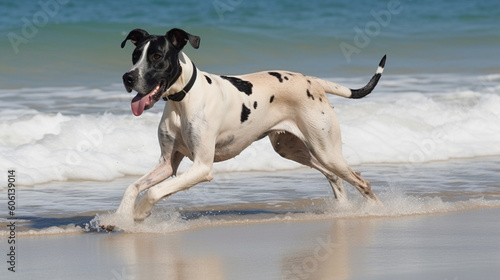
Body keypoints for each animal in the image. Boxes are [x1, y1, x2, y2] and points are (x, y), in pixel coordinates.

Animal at [114, 27, 386, 222]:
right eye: (135, 56)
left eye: (156, 57)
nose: (127, 77)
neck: (183, 99)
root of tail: (313, 81)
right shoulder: (166, 165)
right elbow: (133, 186)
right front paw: (119, 218)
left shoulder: (202, 167)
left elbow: (153, 191)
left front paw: (139, 213)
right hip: (292, 149)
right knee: (333, 176)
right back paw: (343, 209)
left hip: (326, 150)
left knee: (361, 181)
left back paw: (379, 210)